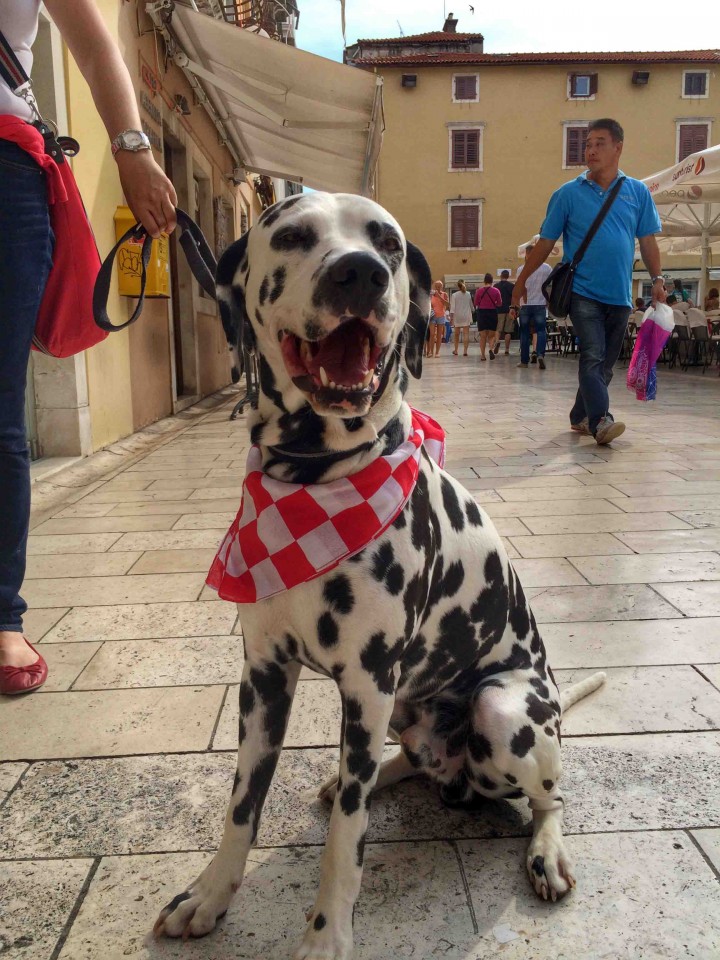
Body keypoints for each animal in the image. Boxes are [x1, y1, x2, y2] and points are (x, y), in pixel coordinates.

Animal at [155, 191, 604, 956]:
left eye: (388, 242)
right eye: (293, 233)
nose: (360, 273)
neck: (314, 478)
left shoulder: (365, 686)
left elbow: (348, 835)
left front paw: (327, 934)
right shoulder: (264, 677)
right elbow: (243, 804)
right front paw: (210, 896)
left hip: (501, 710)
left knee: (551, 797)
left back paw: (546, 851)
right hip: (402, 710)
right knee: (402, 767)